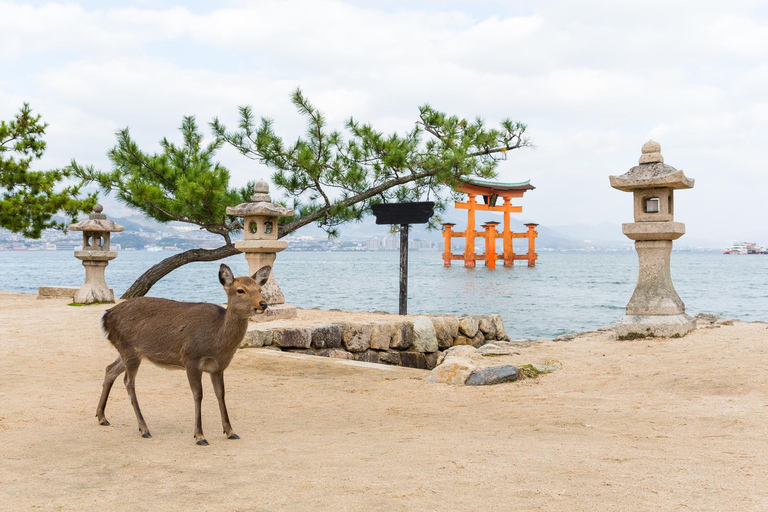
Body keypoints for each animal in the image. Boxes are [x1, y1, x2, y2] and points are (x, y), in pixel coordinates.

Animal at [95, 264, 272, 444]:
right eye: (240, 290)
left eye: (260, 289)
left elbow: (220, 394)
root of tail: (106, 316)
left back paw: (102, 417)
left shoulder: (218, 367)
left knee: (110, 369)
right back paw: (144, 428)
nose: (263, 303)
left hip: (129, 351)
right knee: (128, 382)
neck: (217, 341)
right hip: (129, 349)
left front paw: (230, 431)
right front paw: (200, 436)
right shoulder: (191, 359)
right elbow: (198, 394)